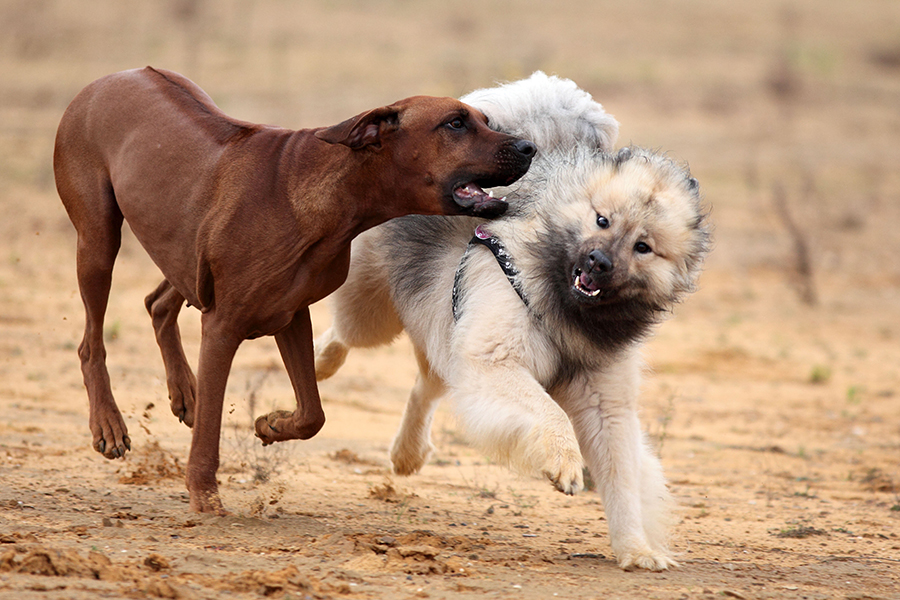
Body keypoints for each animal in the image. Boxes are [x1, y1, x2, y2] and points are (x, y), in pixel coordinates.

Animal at [52, 68, 536, 512]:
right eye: (455, 123)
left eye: (485, 119)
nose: (529, 147)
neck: (336, 201)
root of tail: (105, 80)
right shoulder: (223, 326)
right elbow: (211, 425)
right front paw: (204, 493)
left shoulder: (290, 316)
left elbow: (314, 416)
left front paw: (271, 425)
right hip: (98, 240)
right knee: (90, 343)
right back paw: (109, 424)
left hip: (182, 248)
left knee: (157, 303)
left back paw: (184, 391)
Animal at [314, 72, 712, 568]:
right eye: (601, 220)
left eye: (643, 247)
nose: (598, 263)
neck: (565, 308)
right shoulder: (497, 362)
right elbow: (551, 414)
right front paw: (565, 464)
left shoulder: (605, 403)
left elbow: (623, 483)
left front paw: (636, 548)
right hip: (377, 313)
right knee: (344, 336)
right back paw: (319, 365)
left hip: (447, 325)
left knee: (426, 385)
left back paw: (408, 454)